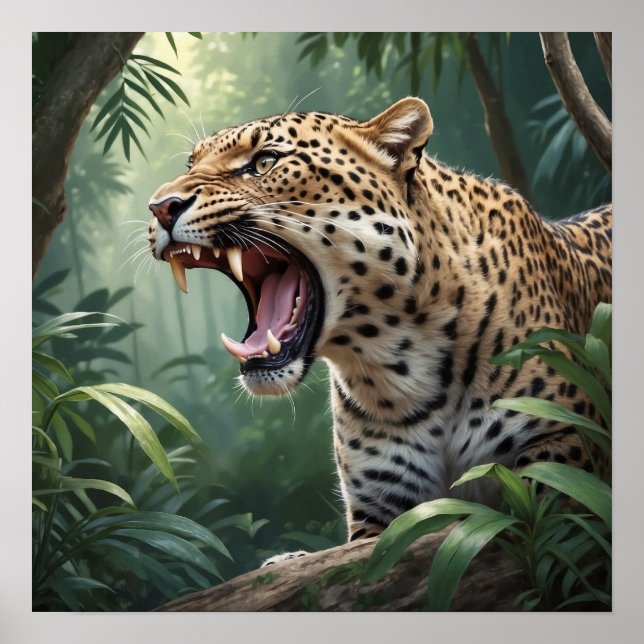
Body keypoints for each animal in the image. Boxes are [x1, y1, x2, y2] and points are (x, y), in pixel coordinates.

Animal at [147, 97, 612, 563]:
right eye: (191, 163)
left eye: (264, 162)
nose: (160, 207)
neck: (397, 364)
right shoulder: (380, 512)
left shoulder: (558, 449)